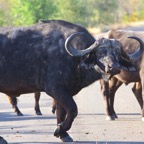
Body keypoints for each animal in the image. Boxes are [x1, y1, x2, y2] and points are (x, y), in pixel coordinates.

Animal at [0, 20, 142, 142]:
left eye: (118, 53)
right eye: (100, 52)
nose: (114, 67)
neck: (72, 59)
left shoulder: (63, 93)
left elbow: (61, 113)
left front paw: (62, 133)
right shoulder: (55, 90)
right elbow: (73, 110)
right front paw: (60, 130)